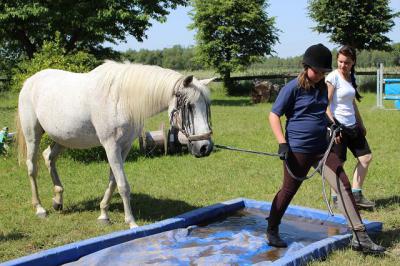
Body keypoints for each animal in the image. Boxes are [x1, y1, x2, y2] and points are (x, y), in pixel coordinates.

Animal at [17, 60, 214, 229]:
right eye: (189, 106)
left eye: (207, 106)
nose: (205, 147)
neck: (122, 98)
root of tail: (30, 82)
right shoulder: (111, 146)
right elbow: (123, 185)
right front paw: (131, 222)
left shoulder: (123, 147)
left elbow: (113, 181)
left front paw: (103, 214)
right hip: (33, 135)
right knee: (32, 167)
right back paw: (40, 208)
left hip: (63, 138)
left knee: (49, 157)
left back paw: (58, 200)